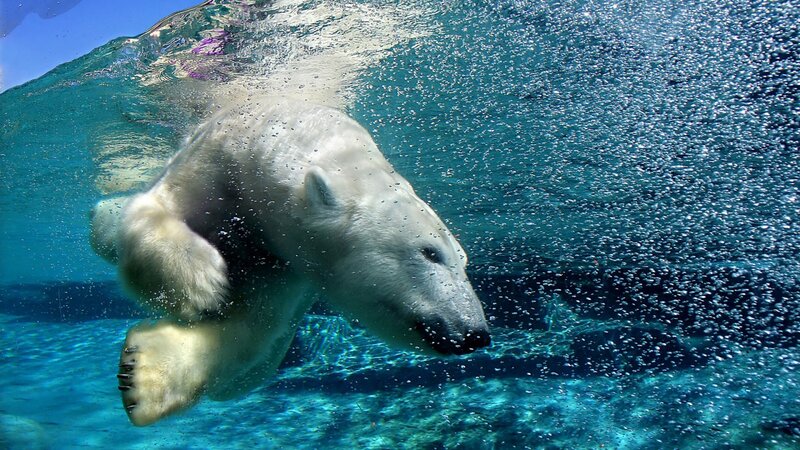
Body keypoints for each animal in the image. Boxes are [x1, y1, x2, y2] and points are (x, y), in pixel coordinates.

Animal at [90, 98, 490, 426]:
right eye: (430, 252)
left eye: (464, 261)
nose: (475, 334)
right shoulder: (217, 161)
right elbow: (156, 208)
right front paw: (201, 282)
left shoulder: (288, 265)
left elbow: (252, 326)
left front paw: (142, 374)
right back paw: (104, 216)